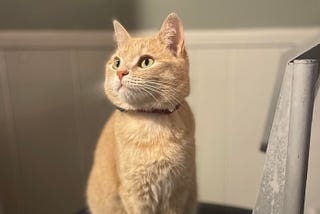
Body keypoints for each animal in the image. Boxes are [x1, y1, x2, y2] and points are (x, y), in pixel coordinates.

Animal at [87, 13, 198, 214]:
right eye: (117, 63)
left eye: (146, 62)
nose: (121, 73)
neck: (150, 122)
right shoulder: (135, 195)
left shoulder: (176, 193)